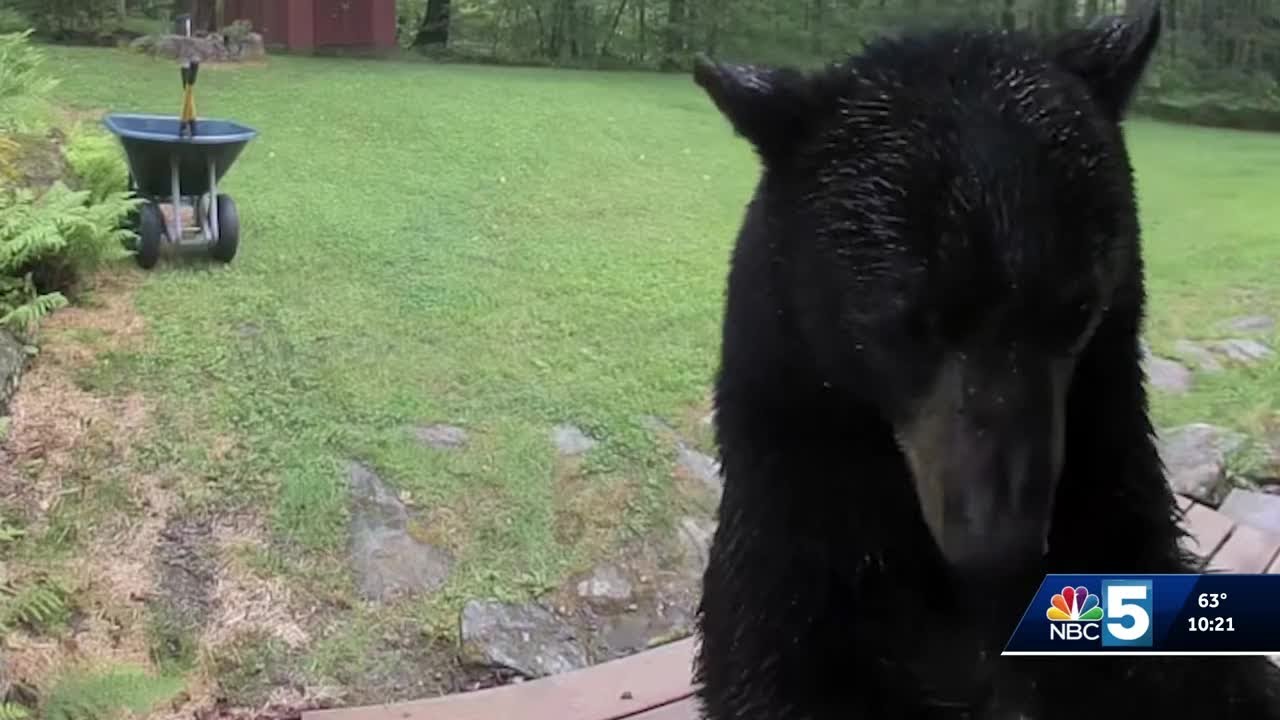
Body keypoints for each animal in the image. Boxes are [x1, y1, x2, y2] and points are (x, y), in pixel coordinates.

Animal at [690, 3, 1280, 719]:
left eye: (1078, 308)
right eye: (905, 323)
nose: (1001, 547)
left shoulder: (1110, 475)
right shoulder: (793, 502)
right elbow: (776, 662)